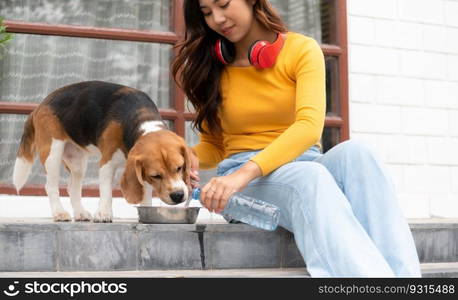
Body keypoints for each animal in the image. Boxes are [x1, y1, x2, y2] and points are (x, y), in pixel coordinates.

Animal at [12, 81, 191, 221]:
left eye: (179, 168)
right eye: (156, 176)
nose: (178, 195)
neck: (142, 121)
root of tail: (39, 106)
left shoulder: (140, 170)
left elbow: (145, 191)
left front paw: (146, 209)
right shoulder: (107, 163)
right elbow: (106, 191)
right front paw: (104, 213)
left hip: (77, 161)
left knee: (72, 187)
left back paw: (80, 213)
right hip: (52, 153)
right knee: (50, 186)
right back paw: (59, 212)